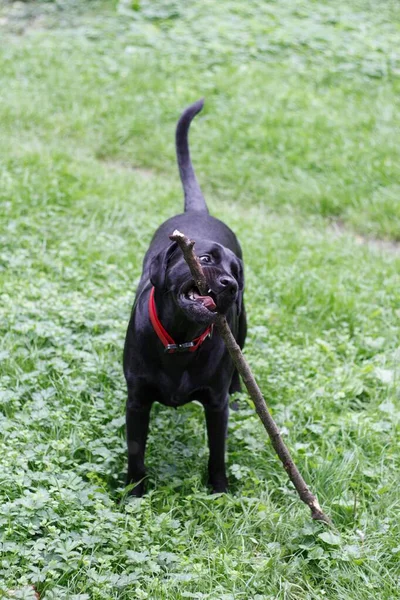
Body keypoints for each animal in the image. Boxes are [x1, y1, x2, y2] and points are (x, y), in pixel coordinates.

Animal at [123, 99, 245, 496]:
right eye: (205, 260)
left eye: (236, 271)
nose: (231, 286)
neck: (180, 341)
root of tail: (198, 211)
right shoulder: (137, 401)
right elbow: (136, 452)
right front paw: (134, 493)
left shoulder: (216, 405)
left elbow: (217, 453)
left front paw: (220, 492)